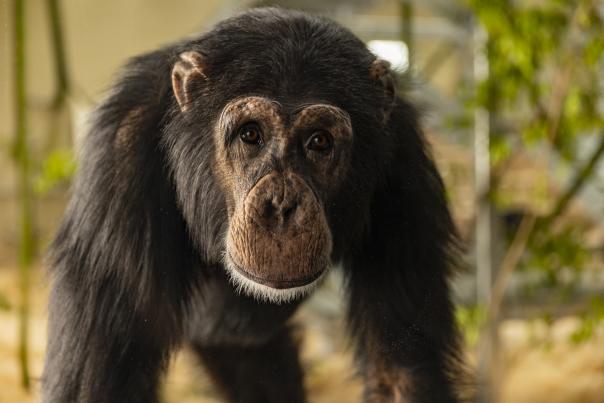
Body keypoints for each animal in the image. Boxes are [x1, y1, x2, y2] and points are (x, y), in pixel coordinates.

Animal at [42, 7, 464, 403]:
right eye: (251, 135)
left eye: (319, 141)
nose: (281, 205)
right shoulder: (120, 160)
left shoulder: (403, 169)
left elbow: (399, 374)